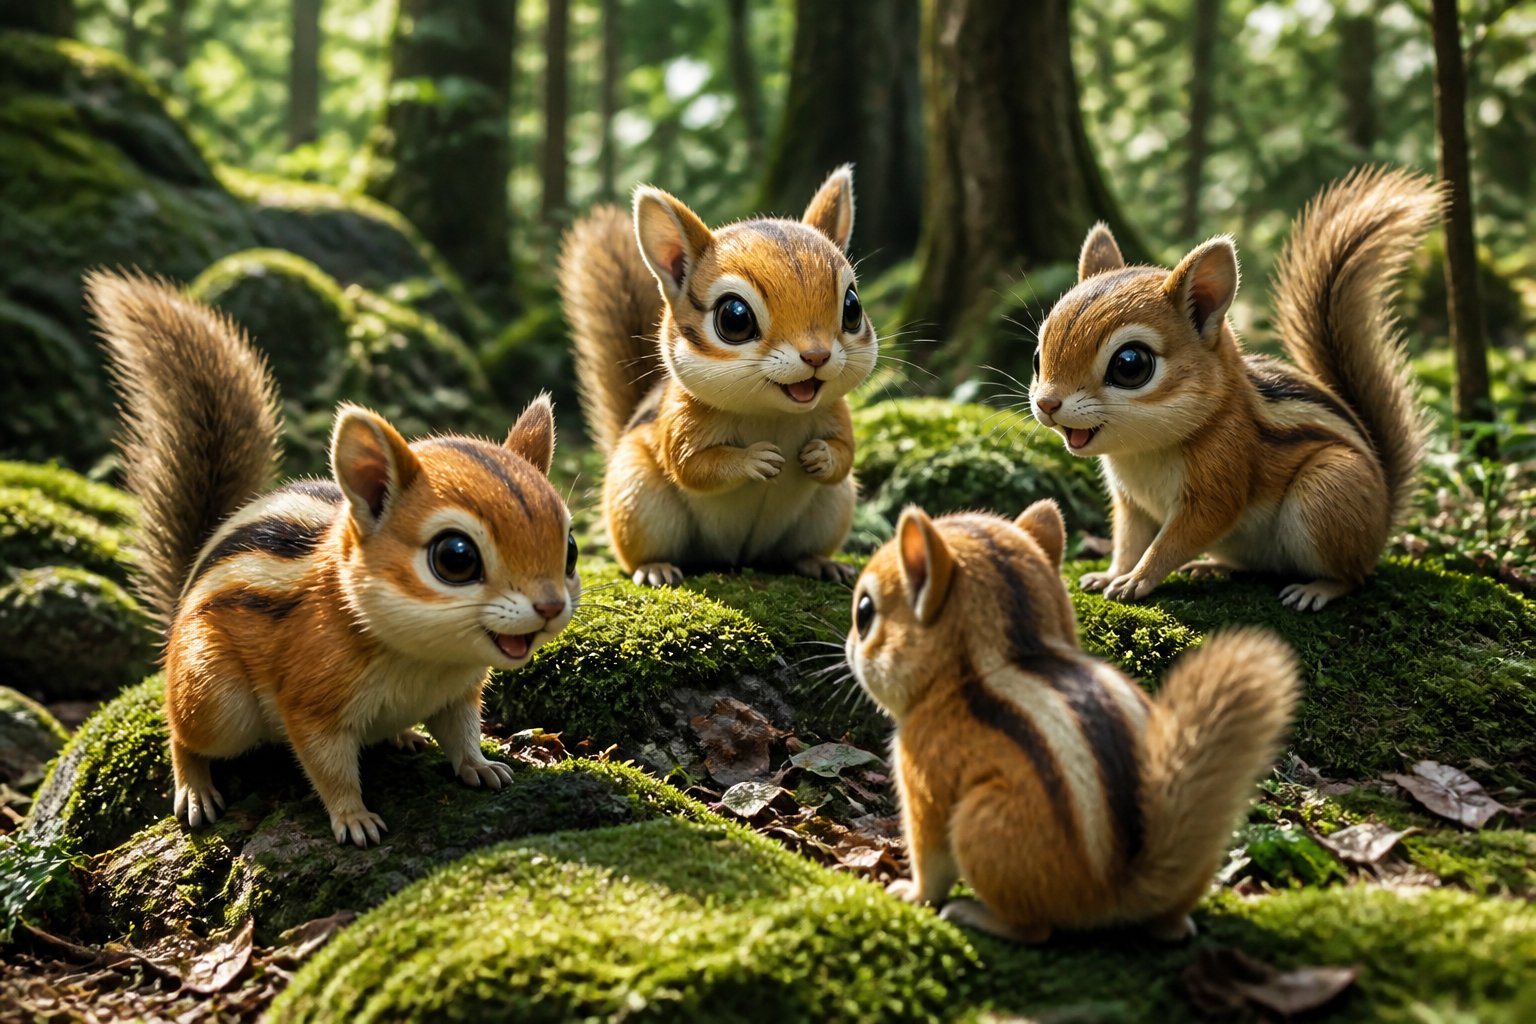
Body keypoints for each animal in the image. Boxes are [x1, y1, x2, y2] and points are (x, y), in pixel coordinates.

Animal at [87, 271, 580, 847]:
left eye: (570, 550)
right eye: (456, 558)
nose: (550, 607)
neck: (426, 657)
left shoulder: (458, 694)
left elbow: (462, 735)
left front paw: (480, 766)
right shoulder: (311, 703)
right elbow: (330, 769)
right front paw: (354, 818)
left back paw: (405, 736)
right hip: (213, 696)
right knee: (183, 733)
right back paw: (195, 789)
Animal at [557, 164, 878, 586]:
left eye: (853, 307)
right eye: (734, 318)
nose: (816, 355)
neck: (772, 414)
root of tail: (739, 558)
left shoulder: (837, 414)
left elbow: (846, 453)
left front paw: (821, 455)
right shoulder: (682, 422)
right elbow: (693, 466)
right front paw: (754, 459)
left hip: (834, 504)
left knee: (797, 551)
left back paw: (820, 562)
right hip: (638, 498)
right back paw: (655, 567)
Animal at [846, 500, 1299, 942]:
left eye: (864, 612)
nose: (848, 647)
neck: (1001, 658)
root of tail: (1118, 889)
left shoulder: (923, 774)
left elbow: (930, 854)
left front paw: (912, 893)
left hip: (981, 825)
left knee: (1035, 930)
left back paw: (975, 914)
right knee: (1170, 926)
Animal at [1029, 167, 1442, 610]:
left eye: (1130, 365)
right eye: (1037, 357)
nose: (1047, 403)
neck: (1142, 451)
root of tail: (1384, 518)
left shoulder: (1223, 474)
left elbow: (1175, 539)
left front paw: (1135, 580)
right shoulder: (1130, 503)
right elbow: (1127, 541)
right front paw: (1111, 573)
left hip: (1329, 489)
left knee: (1354, 575)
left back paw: (1316, 589)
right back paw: (1211, 567)